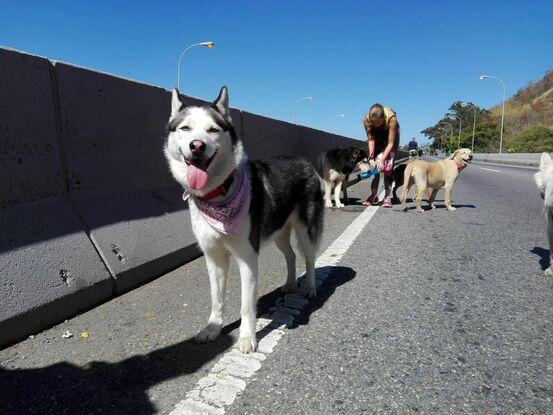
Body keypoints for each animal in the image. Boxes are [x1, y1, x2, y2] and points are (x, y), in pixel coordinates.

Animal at [163, 86, 324, 352]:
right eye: (185, 128)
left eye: (213, 130)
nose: (196, 146)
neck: (218, 195)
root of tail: (303, 161)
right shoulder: (214, 257)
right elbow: (216, 298)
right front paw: (213, 328)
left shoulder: (247, 256)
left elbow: (247, 305)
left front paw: (247, 337)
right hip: (278, 231)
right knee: (291, 256)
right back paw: (290, 283)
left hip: (305, 229)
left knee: (310, 259)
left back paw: (310, 288)